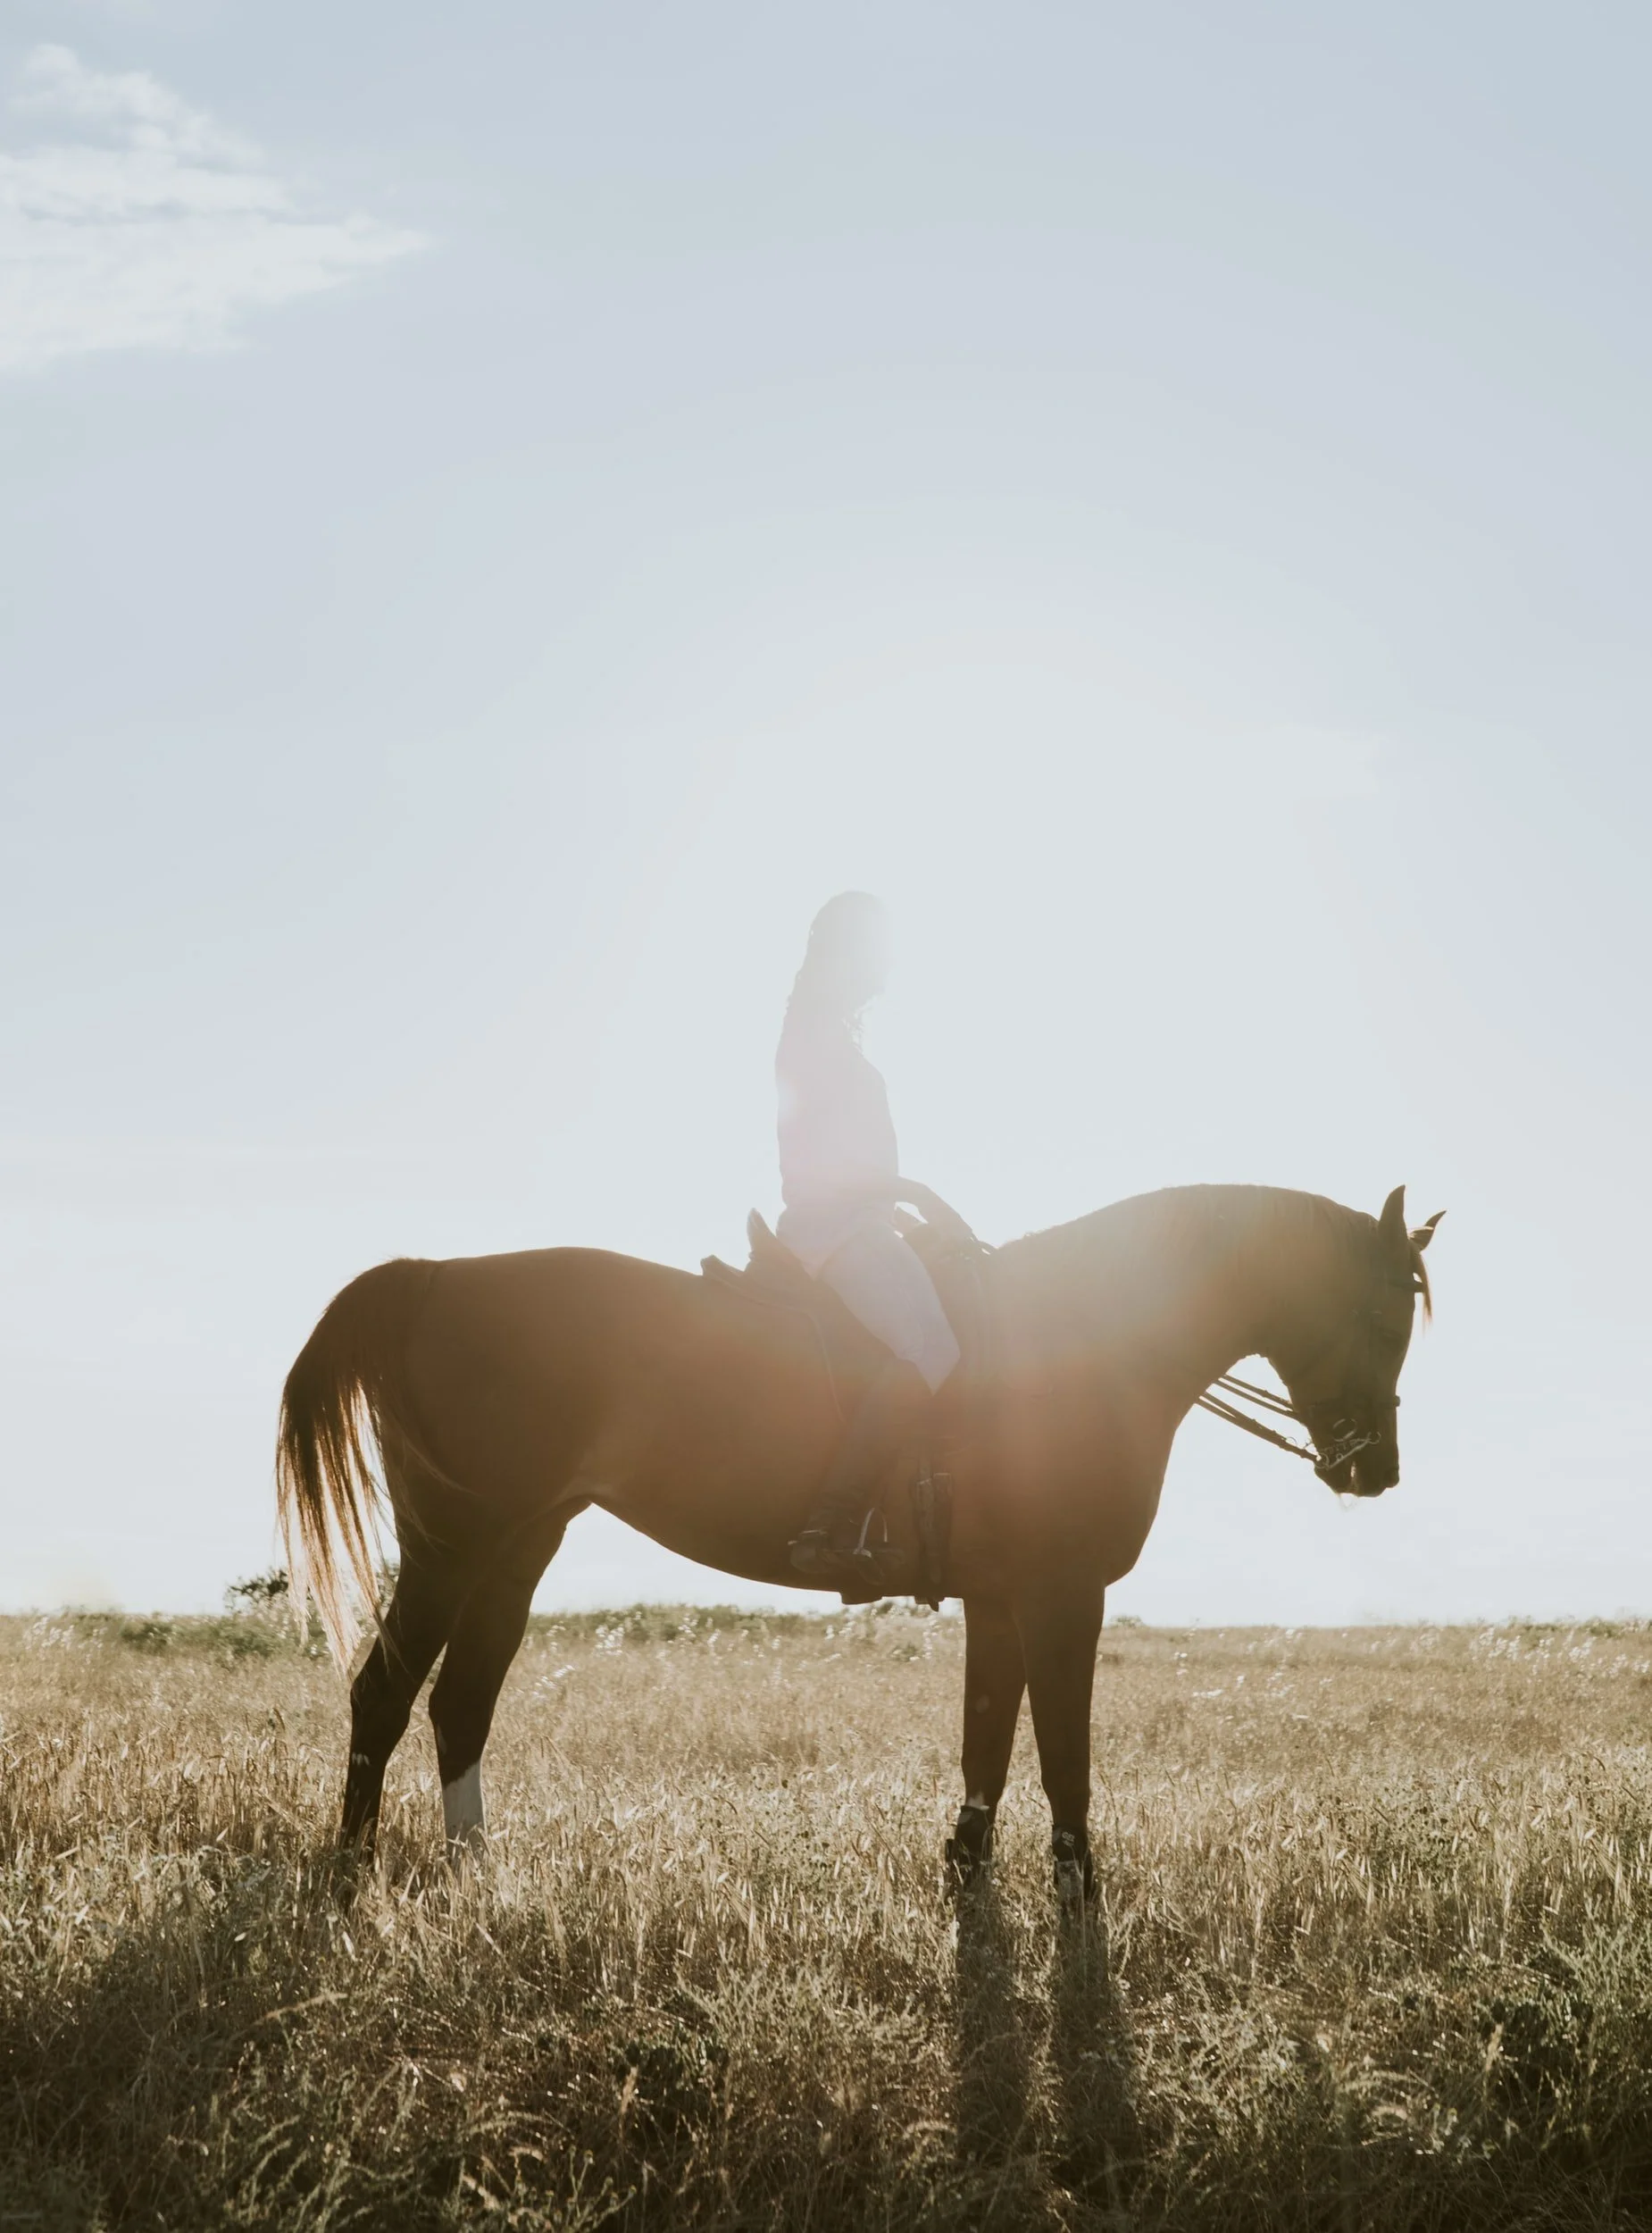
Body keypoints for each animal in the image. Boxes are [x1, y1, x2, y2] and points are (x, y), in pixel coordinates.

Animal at [276, 1181, 1440, 1901]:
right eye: (1388, 1316)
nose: (1372, 1469)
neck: (1079, 1339)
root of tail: (436, 1273)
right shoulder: (1062, 1592)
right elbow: (1061, 1755)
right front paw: (1078, 1894)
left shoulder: (1000, 1597)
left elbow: (987, 1740)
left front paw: (967, 1876)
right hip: (453, 1545)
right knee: (384, 1691)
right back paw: (351, 1871)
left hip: (517, 1547)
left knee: (460, 1700)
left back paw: (475, 1873)